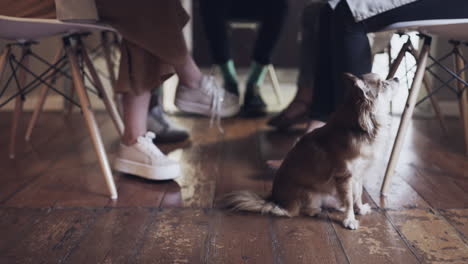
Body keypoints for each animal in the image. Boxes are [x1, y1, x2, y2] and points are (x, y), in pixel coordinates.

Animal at [222, 73, 398, 230]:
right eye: (384, 84)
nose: (396, 78)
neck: (360, 128)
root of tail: (274, 199)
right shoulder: (344, 176)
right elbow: (349, 199)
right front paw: (350, 220)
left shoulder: (358, 174)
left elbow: (357, 194)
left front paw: (360, 209)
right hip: (309, 195)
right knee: (294, 212)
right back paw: (315, 210)